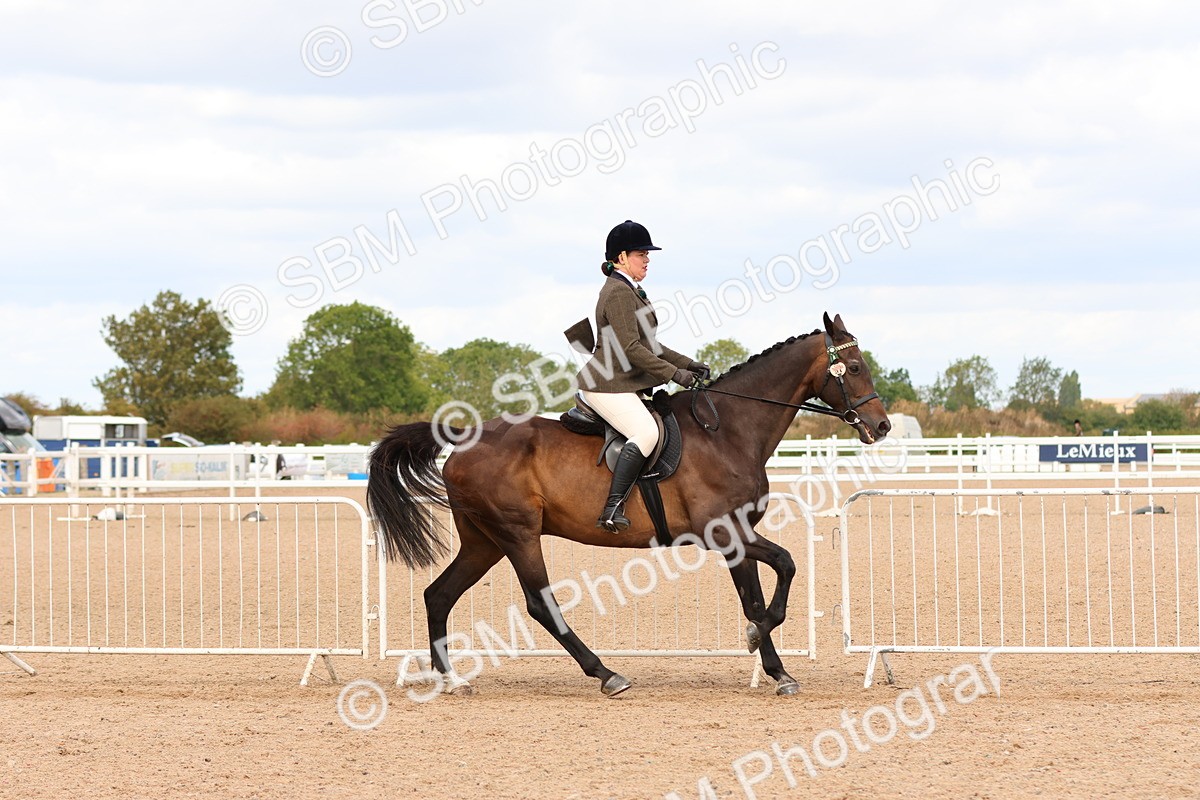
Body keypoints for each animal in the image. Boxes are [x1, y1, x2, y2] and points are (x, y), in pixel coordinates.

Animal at [367, 312, 891, 696]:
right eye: (855, 368)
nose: (882, 426)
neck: (729, 430)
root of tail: (462, 438)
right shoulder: (725, 532)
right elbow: (783, 567)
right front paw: (758, 641)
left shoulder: (736, 537)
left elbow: (758, 594)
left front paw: (776, 667)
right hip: (517, 534)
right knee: (540, 604)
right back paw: (606, 675)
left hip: (484, 540)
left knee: (439, 595)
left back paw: (451, 680)